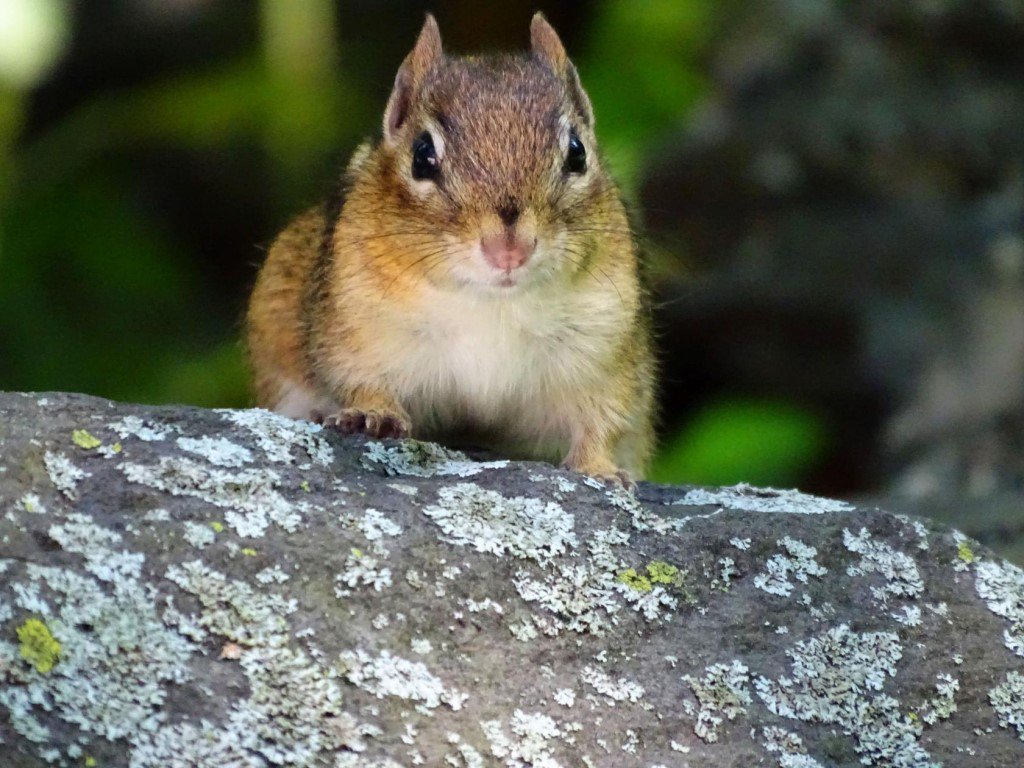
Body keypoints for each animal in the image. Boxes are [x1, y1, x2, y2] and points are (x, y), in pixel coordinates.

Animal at [246, 12, 655, 483]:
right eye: (422, 155)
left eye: (577, 153)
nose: (508, 249)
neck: (492, 304)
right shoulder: (357, 330)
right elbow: (360, 378)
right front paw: (373, 413)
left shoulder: (602, 350)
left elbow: (602, 419)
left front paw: (599, 467)